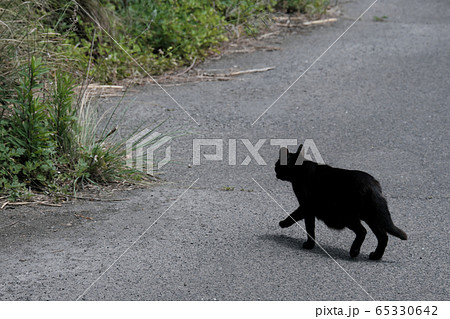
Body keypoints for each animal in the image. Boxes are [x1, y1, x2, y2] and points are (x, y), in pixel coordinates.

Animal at [274, 145, 408, 260]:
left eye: (277, 165)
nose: (274, 171)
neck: (300, 169)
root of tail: (373, 185)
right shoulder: (308, 210)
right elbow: (309, 227)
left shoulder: (306, 207)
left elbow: (303, 223)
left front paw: (286, 226)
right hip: (371, 217)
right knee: (383, 236)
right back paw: (375, 256)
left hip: (348, 216)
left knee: (363, 231)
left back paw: (354, 251)